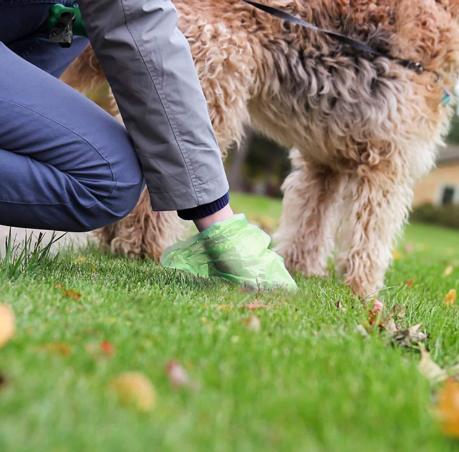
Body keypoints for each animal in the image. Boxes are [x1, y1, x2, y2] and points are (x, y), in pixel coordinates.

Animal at [63, 0, 459, 294]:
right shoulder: (387, 162)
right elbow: (371, 235)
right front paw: (364, 289)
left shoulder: (324, 162)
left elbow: (309, 223)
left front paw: (304, 270)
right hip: (207, 90)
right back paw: (144, 247)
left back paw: (118, 241)